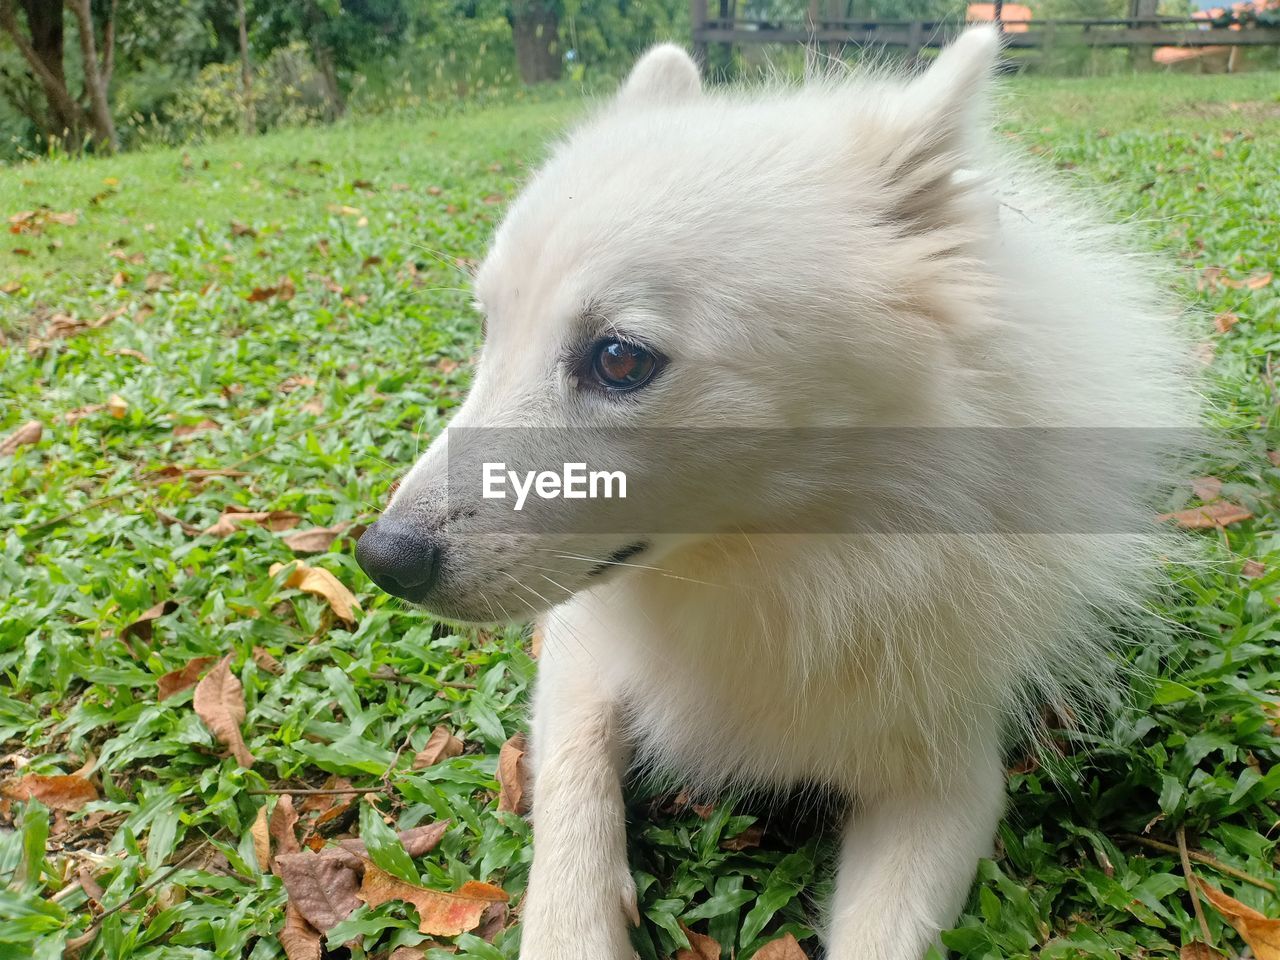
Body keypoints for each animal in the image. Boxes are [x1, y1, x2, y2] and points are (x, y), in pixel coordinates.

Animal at [360, 28, 1198, 960]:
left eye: (620, 359)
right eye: (489, 330)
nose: (383, 557)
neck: (782, 562)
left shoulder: (948, 784)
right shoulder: (581, 659)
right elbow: (573, 828)